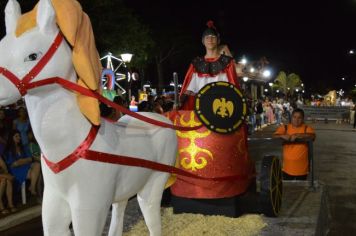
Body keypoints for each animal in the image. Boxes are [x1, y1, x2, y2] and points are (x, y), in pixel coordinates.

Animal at [0, 0, 177, 236]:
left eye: (33, 56)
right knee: (119, 210)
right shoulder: (53, 207)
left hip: (153, 184)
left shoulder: (90, 209)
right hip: (125, 187)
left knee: (151, 215)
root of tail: (165, 120)